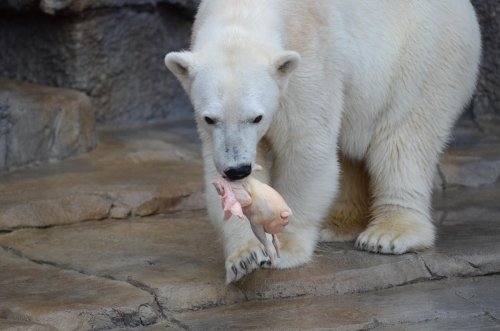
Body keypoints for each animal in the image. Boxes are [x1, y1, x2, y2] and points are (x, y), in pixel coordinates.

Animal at [166, 1, 482, 284]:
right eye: (210, 118)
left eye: (257, 117)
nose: (238, 169)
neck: (244, 11)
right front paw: (245, 257)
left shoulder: (309, 58)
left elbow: (305, 147)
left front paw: (284, 247)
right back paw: (338, 223)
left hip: (424, 57)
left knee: (403, 142)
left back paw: (389, 234)